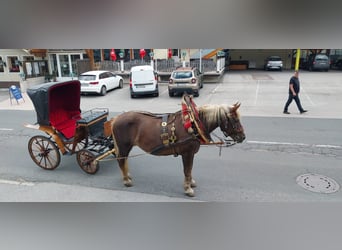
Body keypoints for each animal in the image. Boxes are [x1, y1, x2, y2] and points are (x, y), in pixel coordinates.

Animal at [109, 94, 246, 196]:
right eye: (235, 119)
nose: (243, 137)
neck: (193, 123)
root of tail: (116, 118)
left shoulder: (190, 154)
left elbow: (190, 169)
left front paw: (191, 182)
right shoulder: (187, 153)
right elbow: (187, 170)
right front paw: (188, 188)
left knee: (124, 159)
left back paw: (127, 175)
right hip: (124, 146)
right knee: (121, 159)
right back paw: (126, 180)